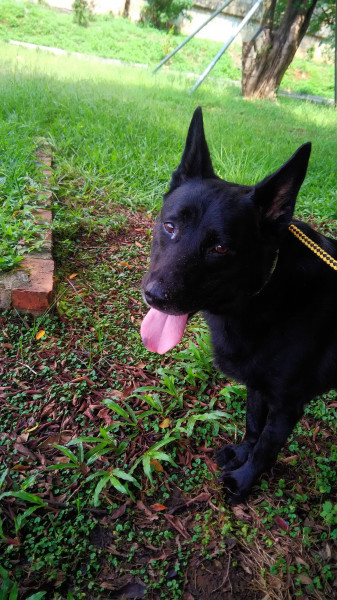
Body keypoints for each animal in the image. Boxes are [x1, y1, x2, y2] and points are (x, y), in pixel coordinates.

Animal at [140, 106, 336, 502]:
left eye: (220, 248)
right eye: (169, 227)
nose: (154, 296)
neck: (268, 292)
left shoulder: (287, 405)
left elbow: (266, 448)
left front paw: (244, 480)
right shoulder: (257, 387)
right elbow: (252, 426)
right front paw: (241, 455)